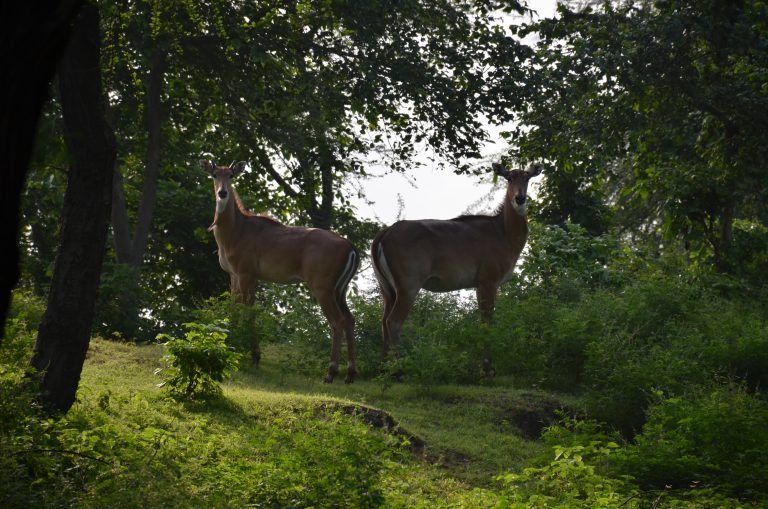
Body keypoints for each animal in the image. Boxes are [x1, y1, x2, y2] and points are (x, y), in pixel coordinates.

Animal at [202, 159, 362, 380]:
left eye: (231, 176)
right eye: (214, 174)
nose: (223, 193)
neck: (234, 232)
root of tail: (351, 248)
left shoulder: (247, 272)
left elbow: (249, 310)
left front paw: (254, 356)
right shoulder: (233, 274)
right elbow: (234, 308)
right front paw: (229, 345)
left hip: (323, 286)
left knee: (337, 321)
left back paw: (330, 373)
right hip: (341, 289)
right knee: (350, 319)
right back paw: (350, 374)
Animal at [370, 163, 540, 374]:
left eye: (527, 178)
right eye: (509, 177)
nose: (520, 198)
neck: (505, 233)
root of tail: (383, 235)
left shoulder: (478, 283)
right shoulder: (489, 279)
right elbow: (487, 321)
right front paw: (488, 368)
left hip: (386, 287)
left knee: (383, 320)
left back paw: (383, 368)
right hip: (408, 283)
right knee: (393, 321)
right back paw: (398, 371)